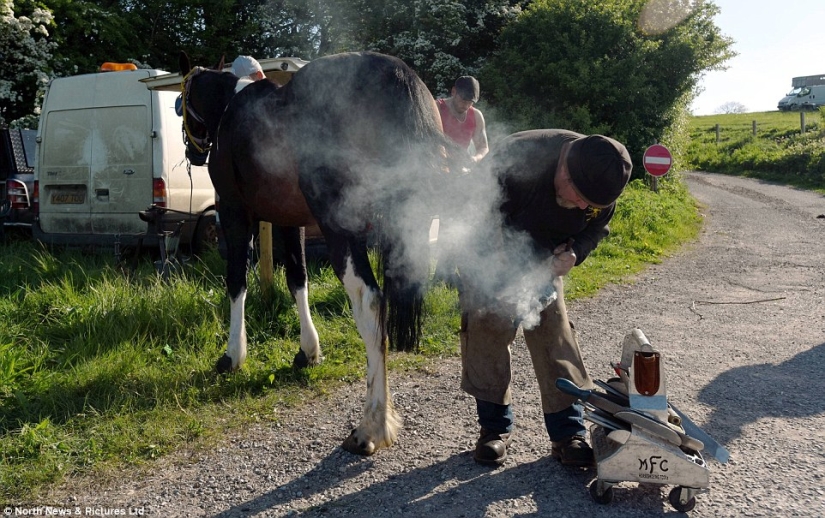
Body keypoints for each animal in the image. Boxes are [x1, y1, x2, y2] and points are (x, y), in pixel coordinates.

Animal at [178, 51, 453, 456]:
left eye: (181, 102)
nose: (191, 152)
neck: (232, 106)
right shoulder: (288, 220)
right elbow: (297, 278)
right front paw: (307, 351)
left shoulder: (233, 211)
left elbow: (236, 281)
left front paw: (233, 356)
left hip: (343, 230)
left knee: (370, 302)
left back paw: (371, 426)